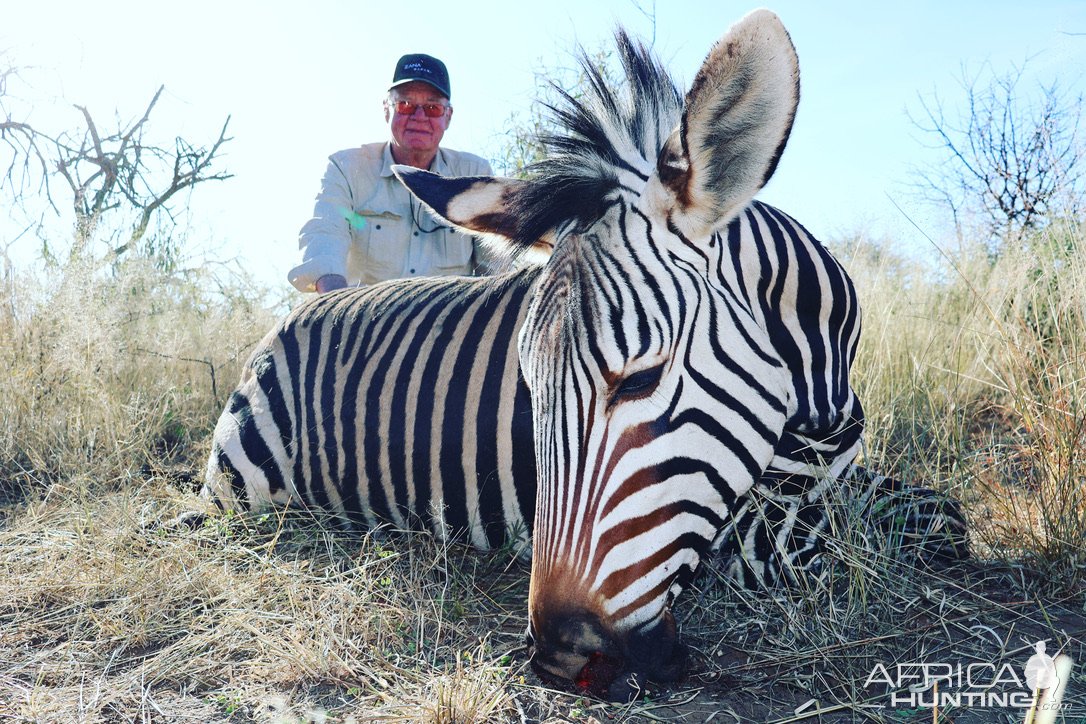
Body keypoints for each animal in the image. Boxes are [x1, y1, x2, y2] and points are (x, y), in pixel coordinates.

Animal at [204, 11, 968, 699]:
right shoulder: (748, 534)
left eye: (642, 379)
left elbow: (934, 512)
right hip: (248, 492)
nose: (561, 662)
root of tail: (296, 314)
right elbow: (893, 532)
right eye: (528, 392)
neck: (816, 403)